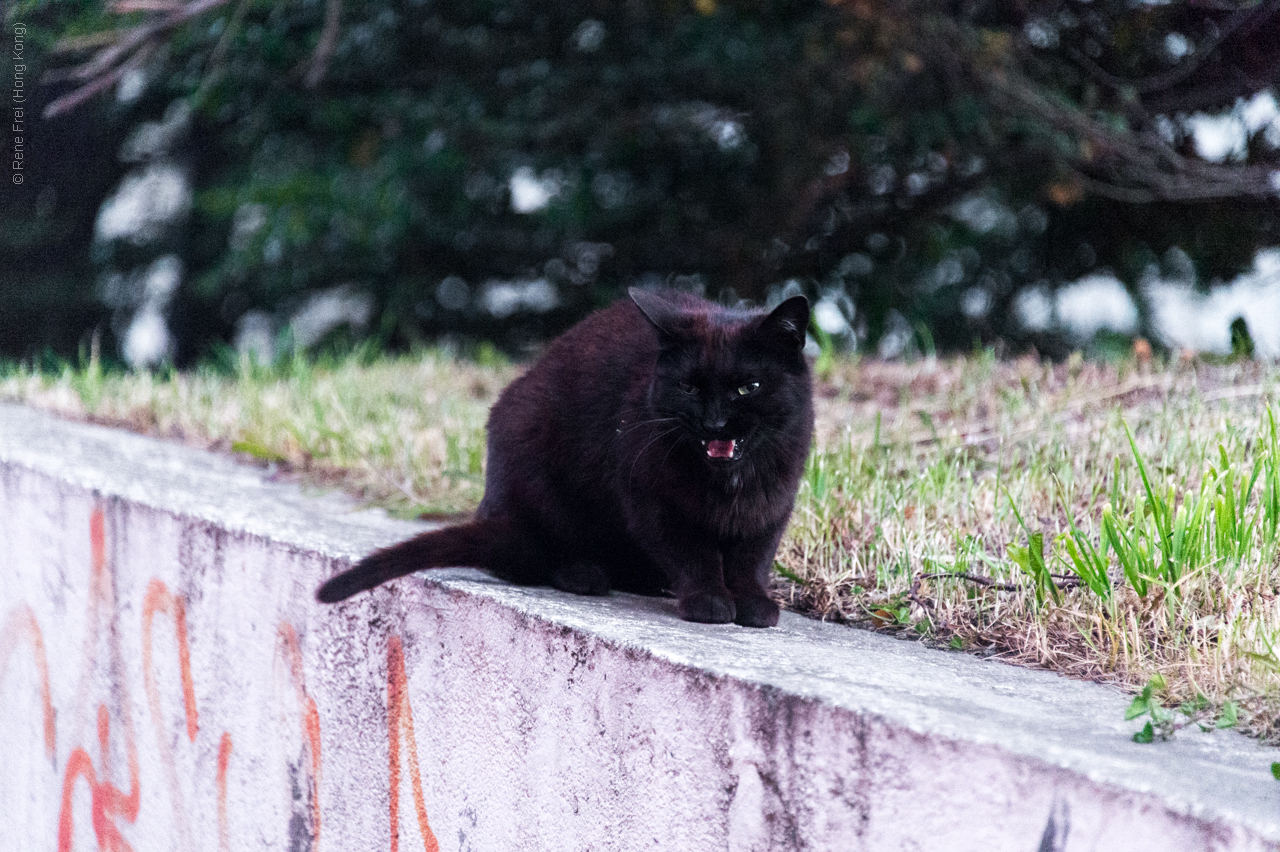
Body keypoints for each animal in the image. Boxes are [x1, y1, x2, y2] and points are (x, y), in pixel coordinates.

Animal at [317, 289, 808, 626]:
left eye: (748, 388)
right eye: (688, 388)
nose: (714, 423)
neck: (728, 482)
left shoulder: (772, 505)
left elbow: (752, 558)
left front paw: (753, 604)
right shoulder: (651, 499)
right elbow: (692, 553)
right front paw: (708, 600)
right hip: (535, 463)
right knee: (530, 557)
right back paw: (583, 573)